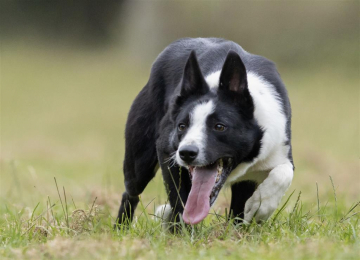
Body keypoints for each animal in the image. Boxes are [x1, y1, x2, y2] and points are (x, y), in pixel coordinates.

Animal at [116, 37, 294, 228]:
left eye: (219, 126)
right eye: (181, 126)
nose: (187, 153)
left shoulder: (278, 150)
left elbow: (284, 173)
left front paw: (259, 208)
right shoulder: (167, 152)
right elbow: (179, 200)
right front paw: (181, 232)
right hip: (140, 162)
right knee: (131, 193)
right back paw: (122, 227)